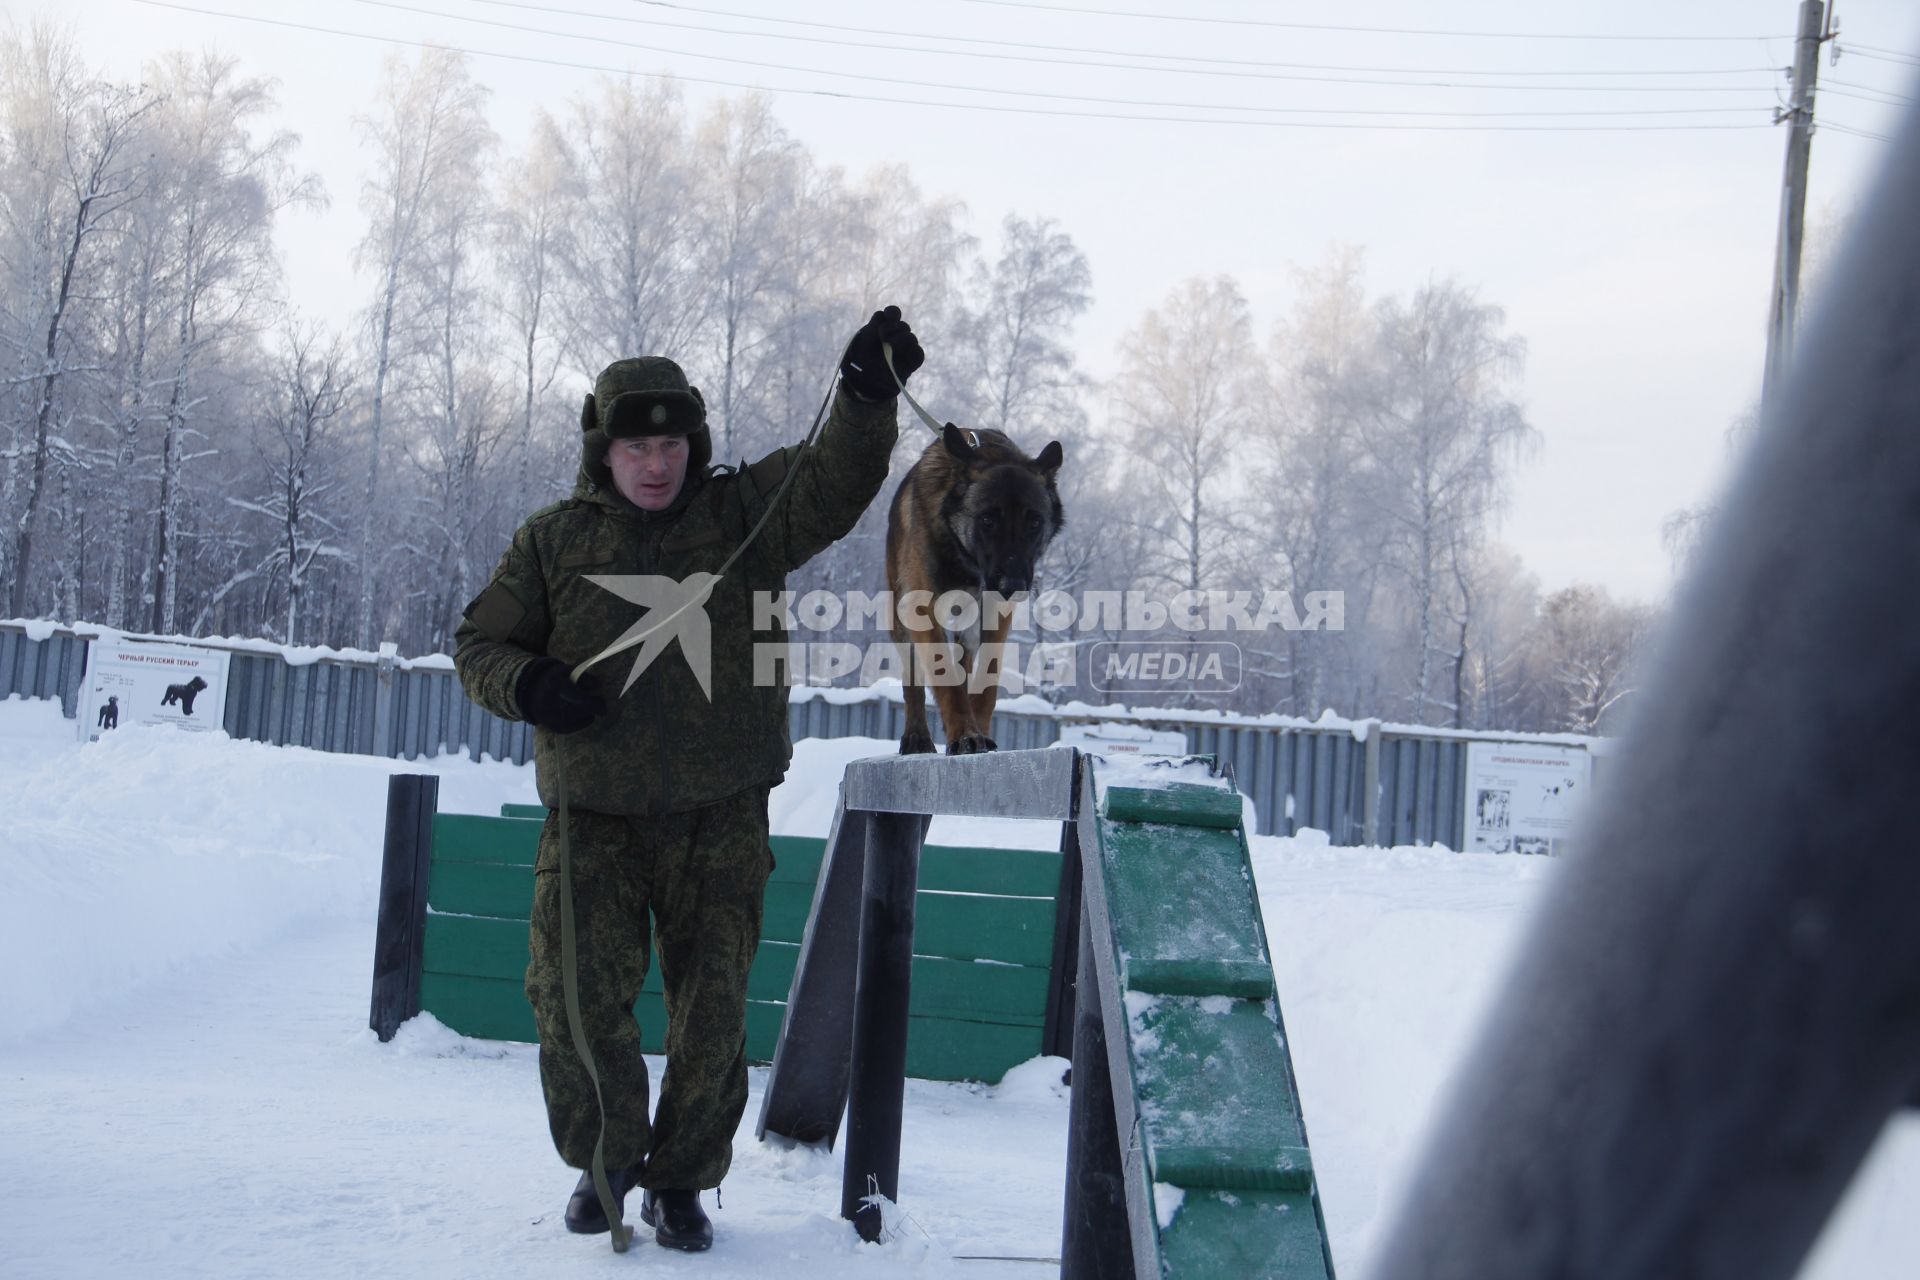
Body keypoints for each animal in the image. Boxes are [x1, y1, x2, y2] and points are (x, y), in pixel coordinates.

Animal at [883, 426, 1067, 756]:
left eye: (1034, 522)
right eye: (987, 520)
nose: (1013, 586)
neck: (965, 560)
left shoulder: (996, 615)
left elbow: (987, 679)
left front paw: (977, 731)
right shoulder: (922, 609)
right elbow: (943, 676)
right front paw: (965, 735)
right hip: (900, 617)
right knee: (913, 677)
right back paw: (917, 737)